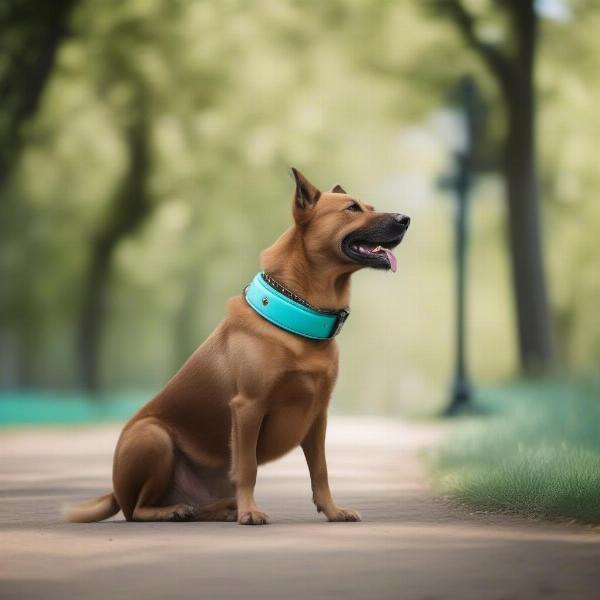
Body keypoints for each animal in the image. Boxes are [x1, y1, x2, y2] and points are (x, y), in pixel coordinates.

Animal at [68, 169, 410, 524]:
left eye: (370, 207)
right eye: (352, 208)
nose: (405, 219)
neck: (297, 312)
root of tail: (114, 491)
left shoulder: (318, 415)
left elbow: (320, 470)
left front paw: (332, 510)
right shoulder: (248, 407)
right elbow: (247, 468)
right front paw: (250, 512)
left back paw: (218, 509)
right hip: (153, 436)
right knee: (135, 509)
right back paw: (175, 510)